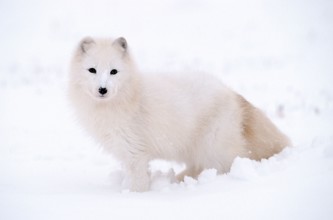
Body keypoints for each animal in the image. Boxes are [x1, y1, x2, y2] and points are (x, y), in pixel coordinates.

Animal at [68, 37, 290, 192]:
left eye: (114, 71)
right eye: (92, 70)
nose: (103, 89)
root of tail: (232, 93)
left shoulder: (135, 151)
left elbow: (139, 181)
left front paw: (134, 197)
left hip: (213, 147)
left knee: (224, 164)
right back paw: (179, 179)